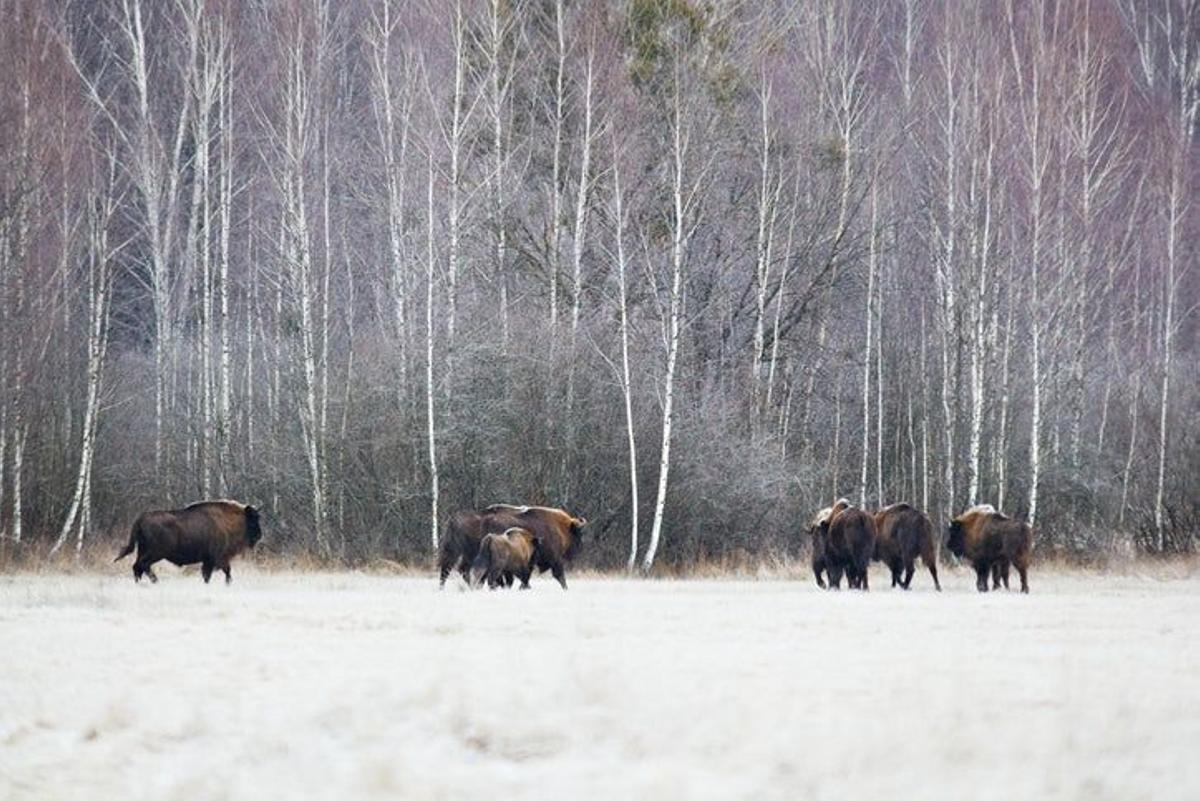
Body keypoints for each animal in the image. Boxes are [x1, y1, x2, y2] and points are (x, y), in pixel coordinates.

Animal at [114, 496, 262, 585]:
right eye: (253, 519)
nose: (259, 536)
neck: (227, 521)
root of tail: (141, 519)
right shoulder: (216, 558)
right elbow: (223, 572)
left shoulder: (211, 560)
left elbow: (214, 573)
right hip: (155, 553)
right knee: (142, 566)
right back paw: (156, 581)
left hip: (143, 551)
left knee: (137, 567)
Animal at [441, 503, 590, 592]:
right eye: (579, 532)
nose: (581, 546)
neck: (562, 527)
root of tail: (455, 520)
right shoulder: (555, 559)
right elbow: (559, 575)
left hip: (457, 553)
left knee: (456, 570)